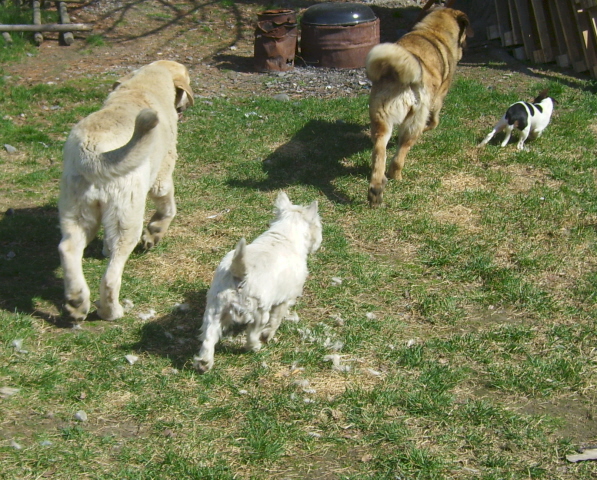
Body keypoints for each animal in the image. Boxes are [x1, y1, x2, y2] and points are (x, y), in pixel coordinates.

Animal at [57, 61, 193, 322]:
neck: (143, 85)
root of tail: (92, 152)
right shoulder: (162, 177)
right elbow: (168, 208)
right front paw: (154, 233)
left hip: (77, 212)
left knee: (68, 249)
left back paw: (77, 302)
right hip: (127, 216)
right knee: (111, 276)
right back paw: (111, 311)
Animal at [364, 7, 470, 206]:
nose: (465, 45)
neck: (434, 30)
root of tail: (399, 75)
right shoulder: (438, 98)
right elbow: (435, 120)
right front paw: (430, 127)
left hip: (381, 121)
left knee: (379, 154)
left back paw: (376, 190)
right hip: (413, 124)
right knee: (399, 156)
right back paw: (395, 176)